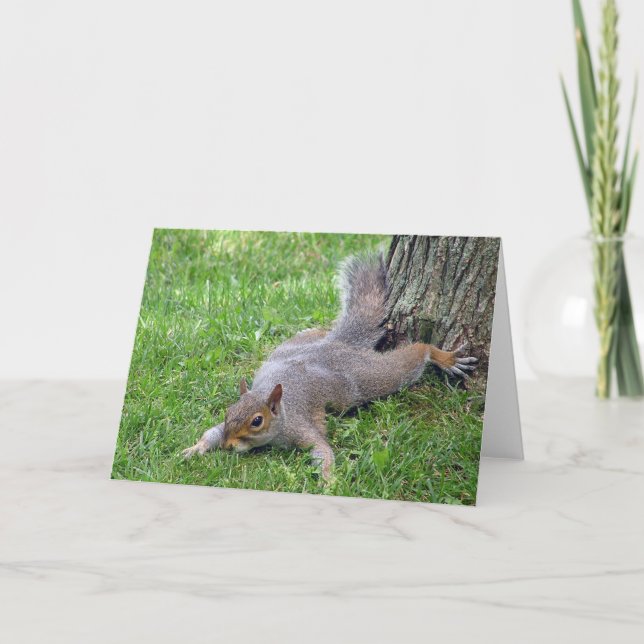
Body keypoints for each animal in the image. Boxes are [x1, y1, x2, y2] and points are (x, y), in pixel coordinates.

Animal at [182, 253, 477, 478]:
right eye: (228, 412)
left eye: (257, 421)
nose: (228, 445)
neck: (280, 416)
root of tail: (334, 344)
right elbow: (212, 432)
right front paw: (196, 448)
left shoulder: (300, 427)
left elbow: (322, 450)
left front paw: (327, 480)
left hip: (367, 377)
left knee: (414, 355)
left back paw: (443, 357)